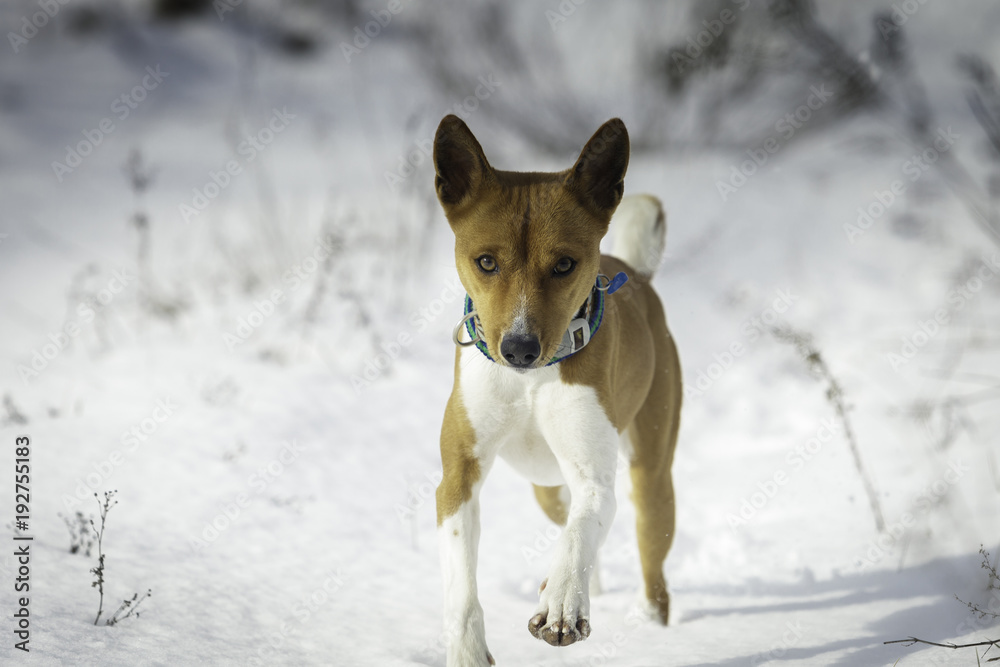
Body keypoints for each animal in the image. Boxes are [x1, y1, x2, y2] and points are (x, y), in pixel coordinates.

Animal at [434, 112, 684, 664]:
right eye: (486, 262)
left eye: (565, 264)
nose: (519, 348)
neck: (530, 382)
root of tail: (637, 273)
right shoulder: (458, 476)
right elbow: (460, 579)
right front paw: (467, 649)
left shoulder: (594, 476)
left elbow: (579, 537)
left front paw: (563, 603)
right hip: (546, 486)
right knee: (565, 514)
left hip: (652, 476)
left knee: (648, 565)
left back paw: (648, 626)